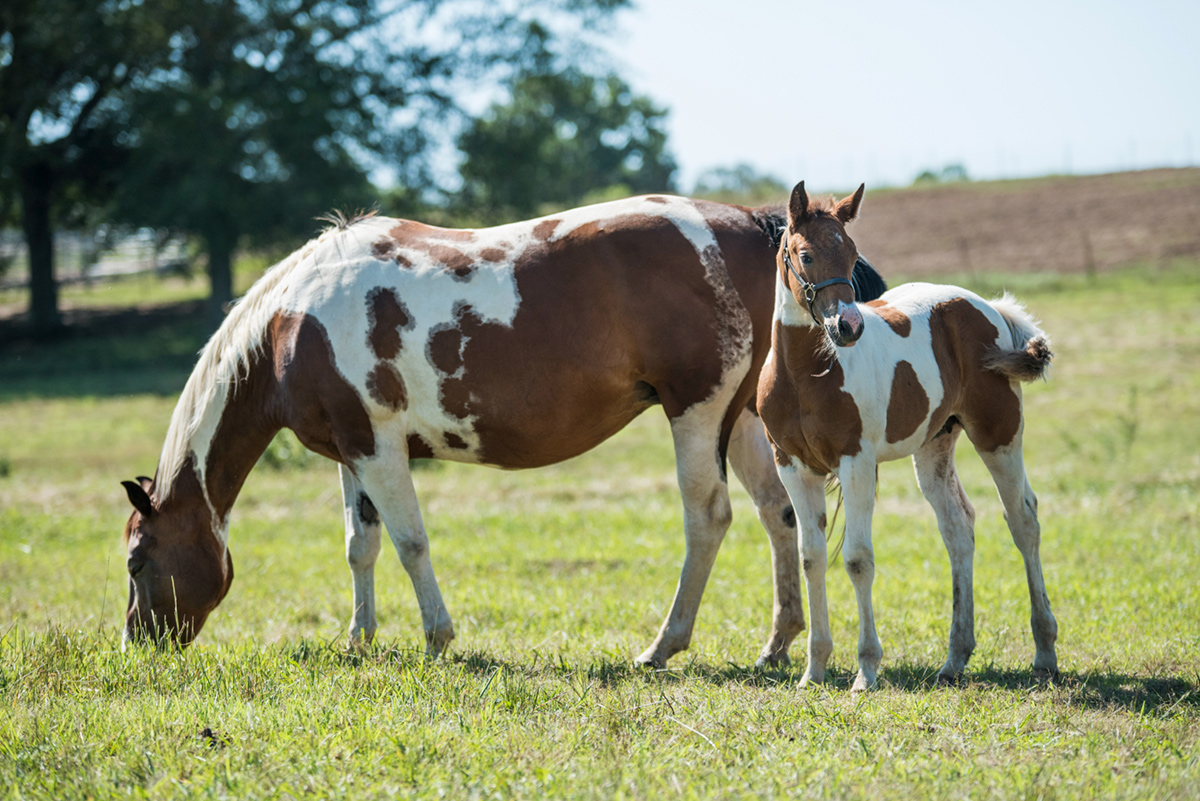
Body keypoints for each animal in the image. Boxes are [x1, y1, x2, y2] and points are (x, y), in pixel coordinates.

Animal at [121, 195, 888, 671]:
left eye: (136, 560)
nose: (136, 642)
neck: (296, 317)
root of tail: (755, 224)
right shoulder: (351, 449)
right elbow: (360, 546)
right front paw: (358, 639)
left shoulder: (377, 446)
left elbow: (409, 541)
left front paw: (436, 638)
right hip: (741, 420)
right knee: (778, 515)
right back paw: (778, 643)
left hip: (697, 414)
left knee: (709, 519)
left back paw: (663, 645)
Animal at [758, 179, 1060, 690]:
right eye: (805, 255)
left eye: (852, 253)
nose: (848, 326)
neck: (807, 374)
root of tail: (988, 307)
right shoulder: (792, 465)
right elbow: (810, 557)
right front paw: (814, 671)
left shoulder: (856, 461)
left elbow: (857, 559)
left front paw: (865, 670)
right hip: (934, 446)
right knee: (958, 527)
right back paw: (955, 657)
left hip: (998, 433)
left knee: (1023, 518)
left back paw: (1044, 651)